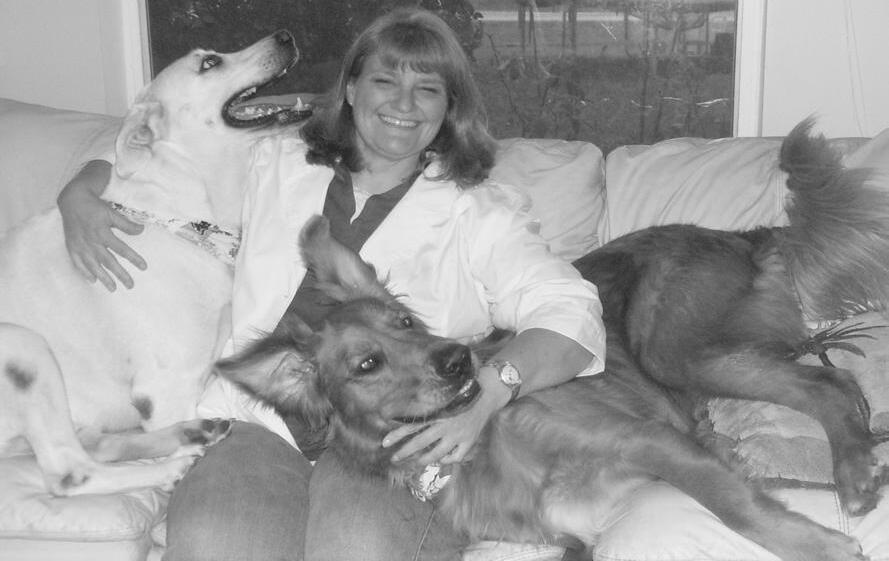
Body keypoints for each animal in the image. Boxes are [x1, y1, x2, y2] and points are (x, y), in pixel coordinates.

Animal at [0, 31, 300, 496]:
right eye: (210, 64)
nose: (284, 35)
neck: (184, 218)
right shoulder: (167, 388)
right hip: (23, 347)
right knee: (70, 472)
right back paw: (173, 465)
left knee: (95, 446)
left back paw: (193, 435)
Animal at [215, 122, 889, 561]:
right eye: (367, 363)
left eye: (405, 322)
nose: (457, 360)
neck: (481, 445)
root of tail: (743, 233)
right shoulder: (568, 537)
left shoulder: (647, 441)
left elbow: (736, 508)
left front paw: (822, 548)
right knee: (826, 380)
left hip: (670, 346)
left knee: (827, 381)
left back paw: (853, 473)